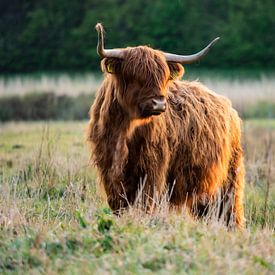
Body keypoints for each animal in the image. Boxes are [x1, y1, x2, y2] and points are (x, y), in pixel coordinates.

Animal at [88, 23, 246, 229]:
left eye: (163, 77)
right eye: (134, 75)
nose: (158, 104)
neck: (125, 130)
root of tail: (229, 107)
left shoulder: (152, 170)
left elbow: (146, 204)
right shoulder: (110, 172)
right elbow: (118, 206)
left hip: (229, 177)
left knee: (230, 210)